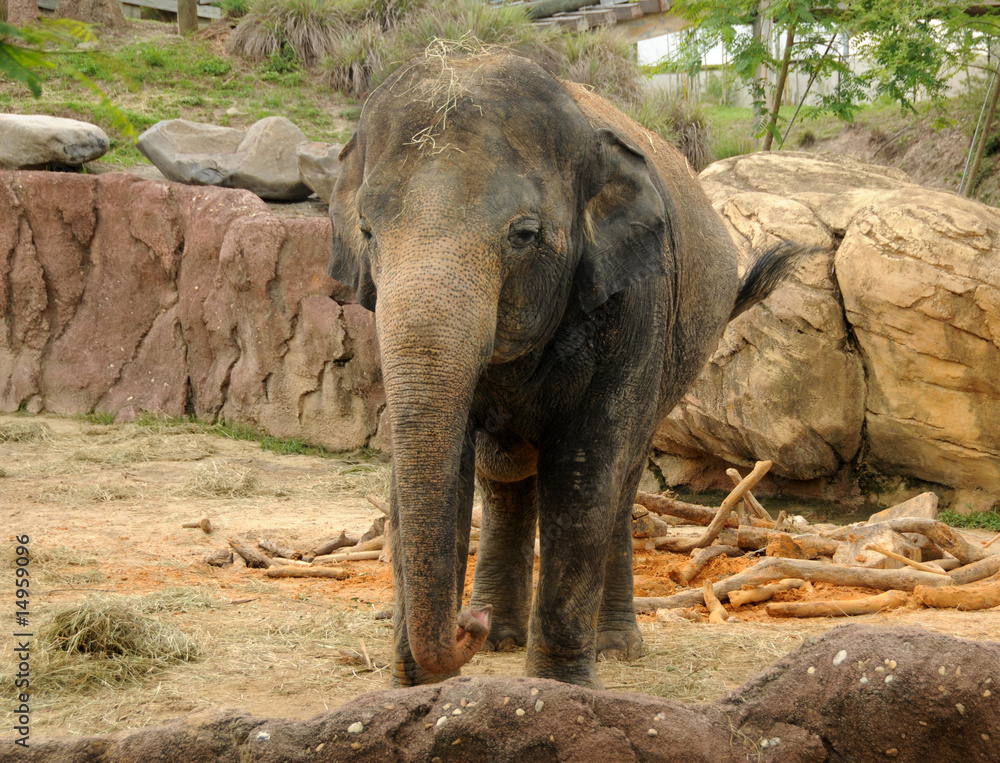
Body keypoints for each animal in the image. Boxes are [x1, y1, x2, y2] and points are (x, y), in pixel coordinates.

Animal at [327, 51, 806, 689]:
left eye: (525, 234)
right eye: (366, 231)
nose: (466, 624)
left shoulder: (637, 299)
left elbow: (585, 469)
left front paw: (555, 690)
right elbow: (431, 475)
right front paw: (415, 691)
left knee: (621, 480)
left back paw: (612, 647)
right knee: (504, 484)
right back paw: (502, 637)